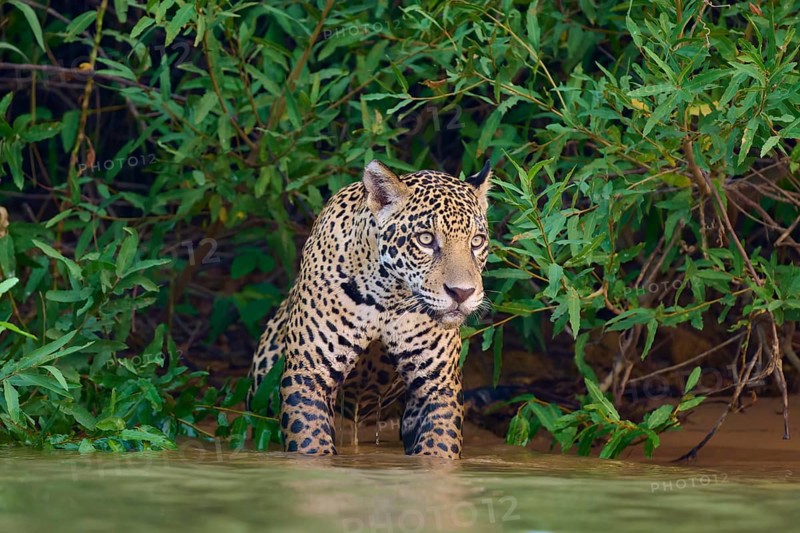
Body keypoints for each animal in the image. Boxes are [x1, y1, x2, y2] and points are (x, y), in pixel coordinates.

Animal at [248, 159, 492, 458]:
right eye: (425, 239)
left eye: (477, 241)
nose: (462, 293)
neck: (388, 295)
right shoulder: (309, 373)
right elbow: (309, 441)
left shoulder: (437, 382)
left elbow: (438, 449)